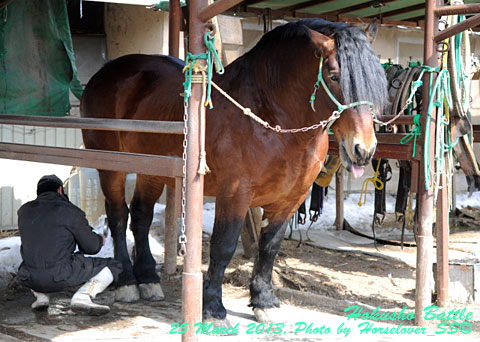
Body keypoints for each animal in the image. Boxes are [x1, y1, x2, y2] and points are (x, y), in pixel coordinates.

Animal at [80, 18, 388, 322]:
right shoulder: (235, 194)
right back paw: (127, 283)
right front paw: (213, 308)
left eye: (379, 79)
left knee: (141, 215)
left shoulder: (290, 199)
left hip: (152, 171)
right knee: (118, 216)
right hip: (110, 165)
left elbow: (270, 246)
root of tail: (104, 73)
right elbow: (223, 245)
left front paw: (264, 301)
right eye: (334, 75)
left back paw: (147, 279)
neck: (270, 116)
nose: (364, 150)